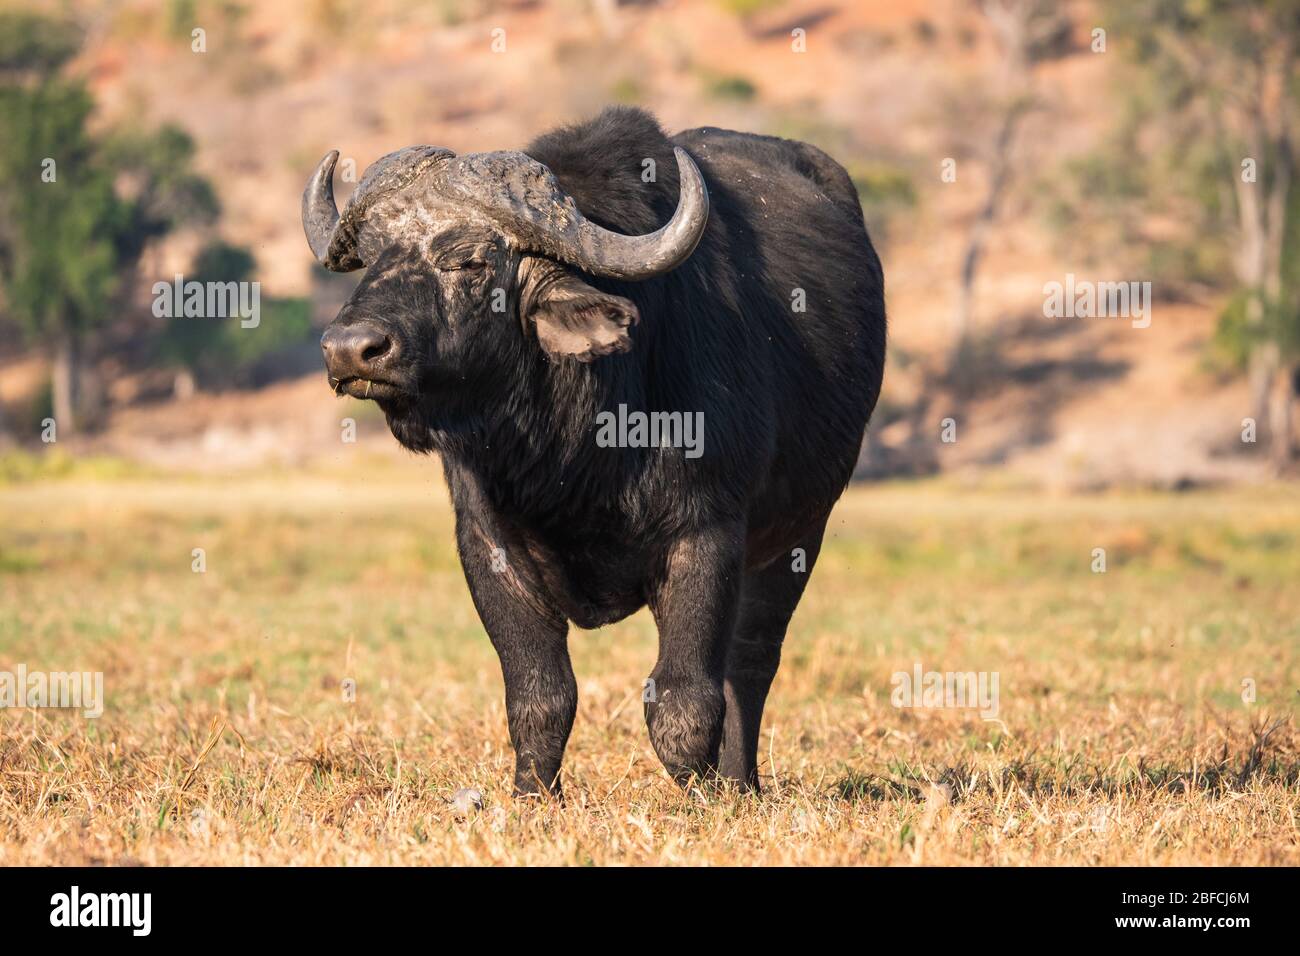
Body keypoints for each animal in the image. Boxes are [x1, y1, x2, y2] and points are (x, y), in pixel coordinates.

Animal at [304, 104, 883, 796]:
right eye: (371, 257)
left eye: (467, 261)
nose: (350, 348)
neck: (577, 452)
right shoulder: (488, 544)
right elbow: (540, 693)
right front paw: (533, 792)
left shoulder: (708, 533)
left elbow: (685, 699)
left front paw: (699, 793)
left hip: (800, 536)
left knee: (750, 664)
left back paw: (740, 781)